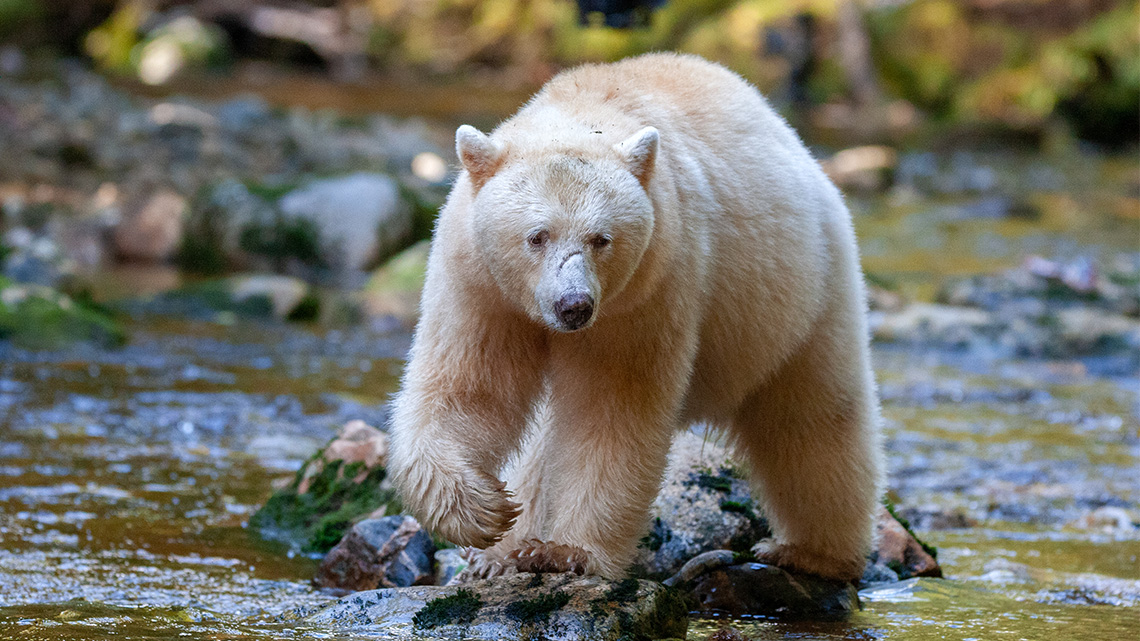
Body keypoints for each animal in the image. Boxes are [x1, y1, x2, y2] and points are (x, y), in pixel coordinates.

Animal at [387, 52, 884, 582]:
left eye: (601, 238)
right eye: (537, 235)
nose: (574, 305)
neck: (583, 109)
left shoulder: (647, 293)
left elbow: (612, 409)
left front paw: (568, 552)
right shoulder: (481, 287)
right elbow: (470, 386)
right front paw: (484, 516)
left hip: (803, 297)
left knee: (814, 418)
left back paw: (813, 552)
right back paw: (502, 556)